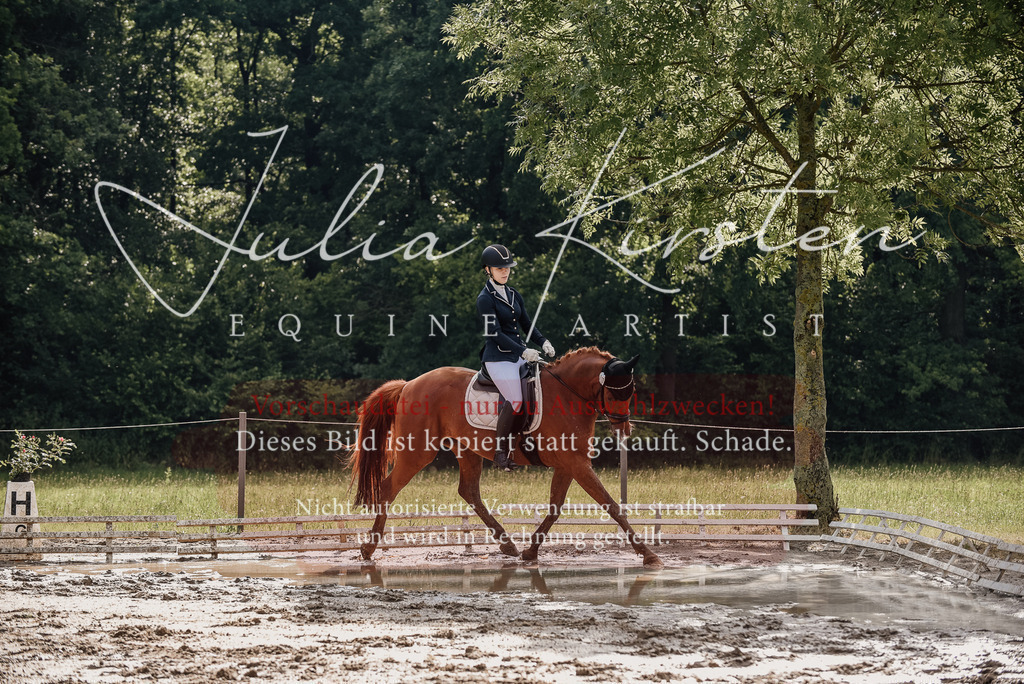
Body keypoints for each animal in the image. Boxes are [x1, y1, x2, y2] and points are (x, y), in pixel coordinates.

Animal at [347, 346, 663, 568]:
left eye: (631, 391)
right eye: (614, 392)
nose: (624, 428)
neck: (567, 394)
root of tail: (409, 384)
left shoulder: (568, 465)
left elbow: (555, 507)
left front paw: (530, 551)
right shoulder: (577, 464)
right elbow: (611, 505)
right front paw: (647, 554)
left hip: (466, 450)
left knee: (469, 491)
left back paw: (507, 544)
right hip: (418, 451)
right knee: (389, 487)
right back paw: (368, 548)